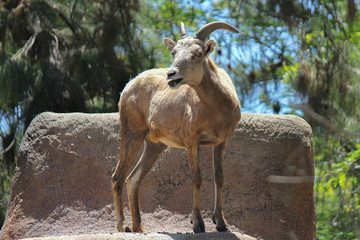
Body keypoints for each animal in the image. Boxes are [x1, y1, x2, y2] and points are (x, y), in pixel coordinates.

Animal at [112, 21, 242, 233]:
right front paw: (197, 224)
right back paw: (124, 227)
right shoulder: (191, 140)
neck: (217, 111)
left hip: (155, 145)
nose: (171, 74)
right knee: (118, 177)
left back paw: (140, 228)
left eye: (198, 53)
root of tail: (128, 87)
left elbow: (219, 177)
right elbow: (197, 177)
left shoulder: (221, 141)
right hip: (132, 133)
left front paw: (221, 223)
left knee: (132, 179)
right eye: (174, 52)